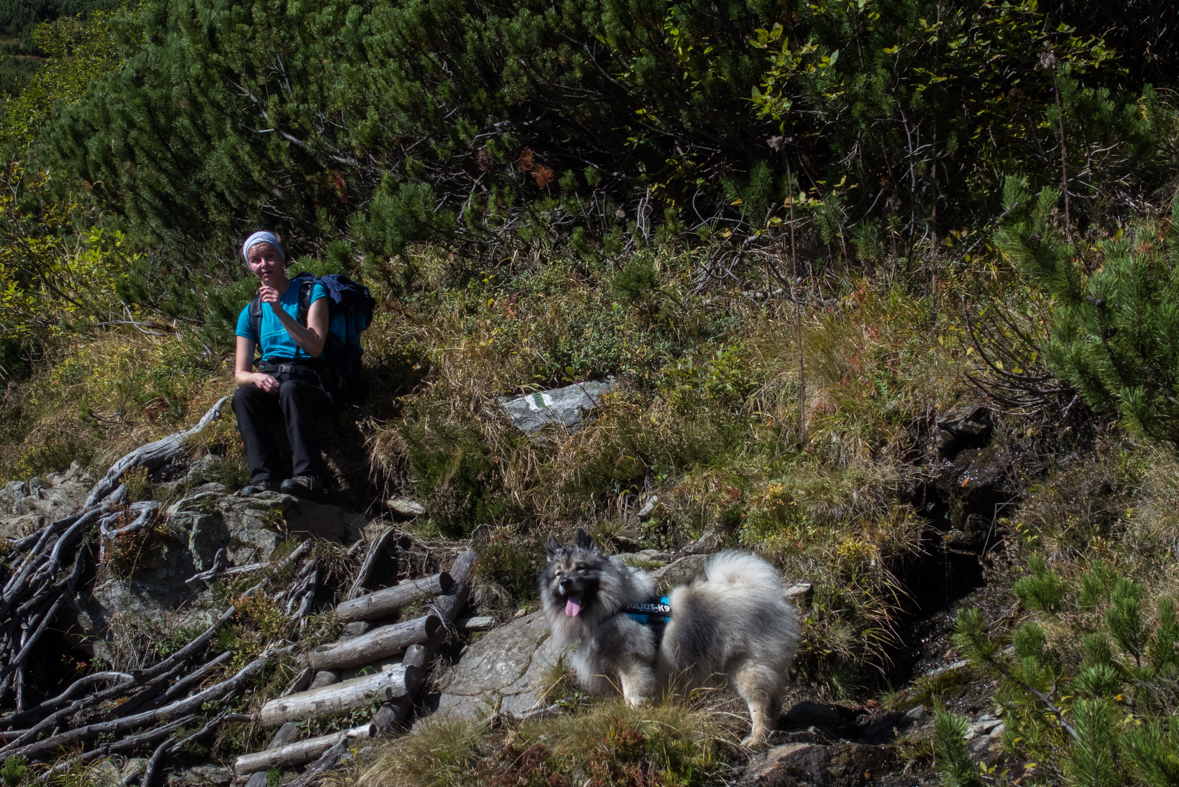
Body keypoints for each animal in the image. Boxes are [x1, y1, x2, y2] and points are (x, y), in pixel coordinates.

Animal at [542, 527, 801, 744]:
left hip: (748, 666)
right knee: (773, 699)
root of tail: (762, 592)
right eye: (558, 574)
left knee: (759, 703)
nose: (565, 582)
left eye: (581, 568)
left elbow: (632, 696)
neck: (612, 607)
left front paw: (633, 721)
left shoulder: (631, 663)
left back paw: (756, 739)